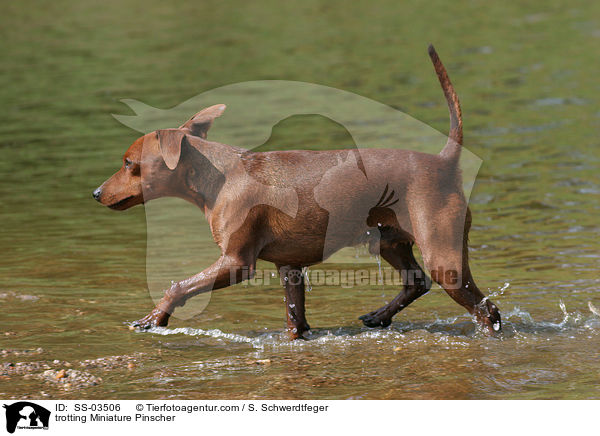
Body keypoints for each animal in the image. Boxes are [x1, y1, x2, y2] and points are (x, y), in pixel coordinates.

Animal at [94, 45, 502, 338]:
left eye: (129, 163)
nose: (96, 193)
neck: (219, 178)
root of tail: (445, 161)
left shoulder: (237, 262)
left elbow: (178, 286)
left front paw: (154, 318)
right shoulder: (289, 266)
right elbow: (296, 319)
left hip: (443, 256)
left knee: (487, 310)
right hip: (390, 241)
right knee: (416, 284)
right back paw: (379, 316)